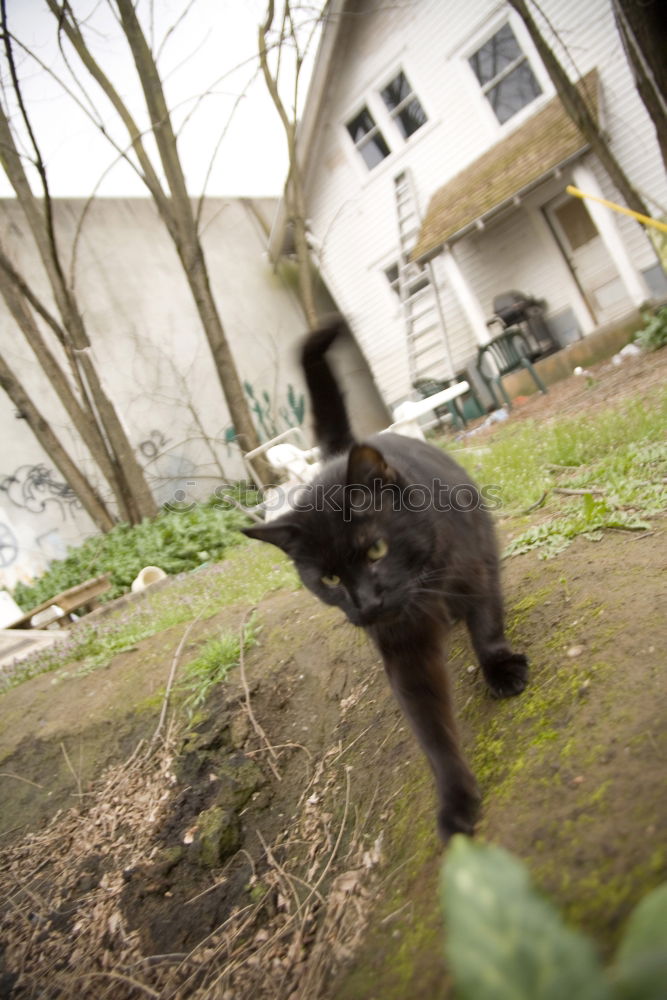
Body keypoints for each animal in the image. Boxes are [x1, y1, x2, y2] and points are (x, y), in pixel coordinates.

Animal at [243, 324, 528, 840]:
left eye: (375, 550)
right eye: (329, 578)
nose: (367, 602)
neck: (424, 590)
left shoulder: (473, 572)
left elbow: (487, 625)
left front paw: (501, 669)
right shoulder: (402, 645)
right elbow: (430, 725)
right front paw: (455, 802)